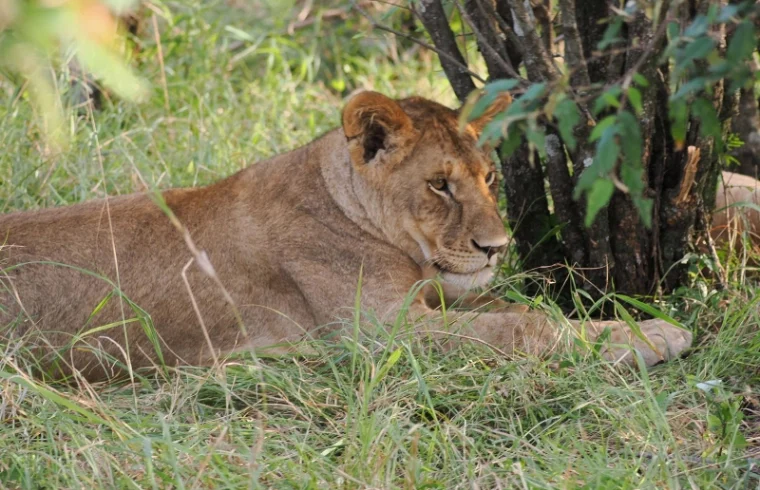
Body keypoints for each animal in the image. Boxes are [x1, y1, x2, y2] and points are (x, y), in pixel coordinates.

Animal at [0, 91, 692, 381]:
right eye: (439, 185)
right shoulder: (377, 334)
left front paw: (631, 326)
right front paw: (654, 335)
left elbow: (516, 310)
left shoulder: (430, 297)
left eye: (489, 177)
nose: (496, 249)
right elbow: (523, 328)